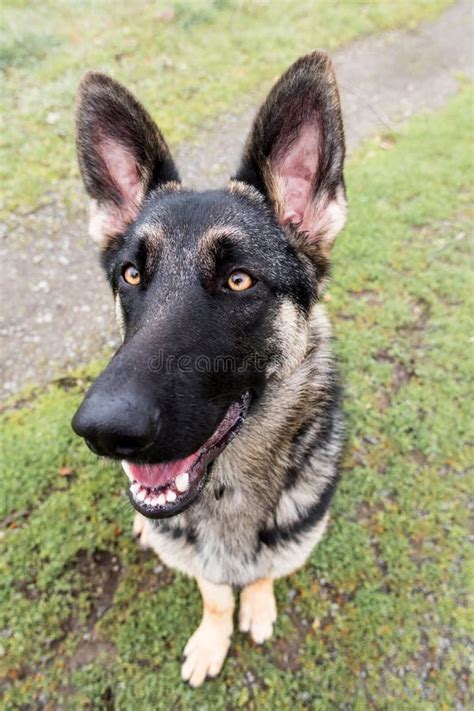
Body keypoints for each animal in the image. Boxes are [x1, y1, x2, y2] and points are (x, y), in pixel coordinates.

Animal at [74, 50, 346, 684]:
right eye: (131, 275)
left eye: (238, 280)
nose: (103, 430)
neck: (226, 491)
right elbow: (216, 593)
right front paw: (213, 638)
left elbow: (266, 572)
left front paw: (259, 607)